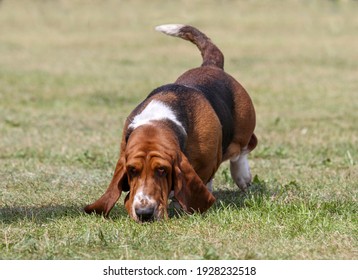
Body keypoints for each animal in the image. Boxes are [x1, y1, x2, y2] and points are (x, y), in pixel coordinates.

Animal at [84, 24, 258, 222]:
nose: (144, 214)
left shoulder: (207, 163)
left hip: (243, 127)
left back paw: (242, 176)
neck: (161, 119)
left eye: (162, 170)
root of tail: (211, 65)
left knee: (244, 148)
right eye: (132, 170)